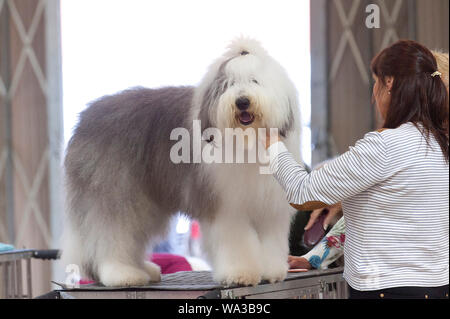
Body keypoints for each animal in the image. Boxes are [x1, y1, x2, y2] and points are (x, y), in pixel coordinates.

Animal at [62, 37, 302, 288]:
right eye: (228, 84)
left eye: (254, 80)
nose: (242, 101)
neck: (247, 142)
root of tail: (85, 118)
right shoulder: (226, 206)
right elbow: (236, 242)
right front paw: (240, 273)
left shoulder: (269, 206)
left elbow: (271, 241)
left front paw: (272, 271)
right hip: (115, 191)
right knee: (112, 234)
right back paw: (121, 274)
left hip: (145, 203)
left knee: (131, 237)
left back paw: (144, 270)